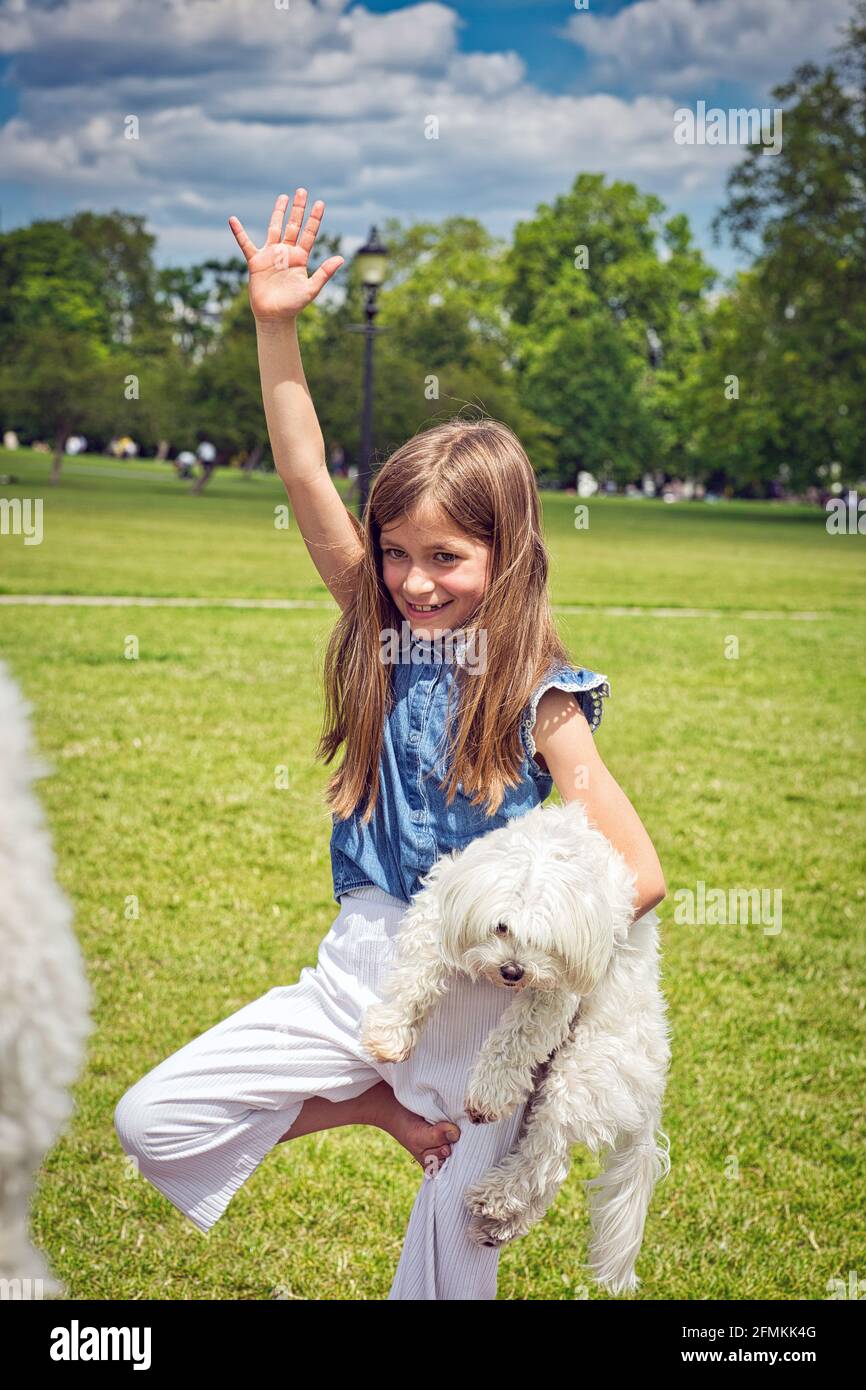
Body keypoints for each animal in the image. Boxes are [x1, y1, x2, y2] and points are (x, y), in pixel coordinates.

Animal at [361, 800, 675, 1295]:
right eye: (501, 927)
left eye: (543, 941)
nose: (513, 971)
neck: (549, 851)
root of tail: (650, 1091)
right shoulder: (443, 907)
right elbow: (418, 973)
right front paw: (391, 1033)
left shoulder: (558, 986)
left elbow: (516, 1036)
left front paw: (489, 1094)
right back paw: (498, 1228)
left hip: (579, 1076)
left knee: (545, 1161)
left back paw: (497, 1199)